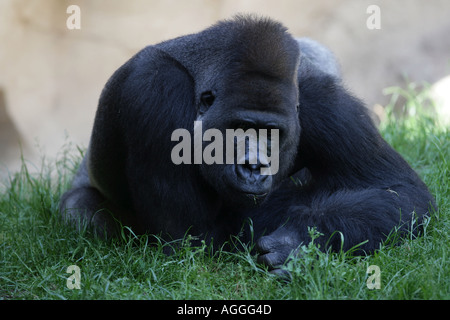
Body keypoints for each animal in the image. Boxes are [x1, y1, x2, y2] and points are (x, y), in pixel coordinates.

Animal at [59, 14, 436, 270]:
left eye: (272, 133)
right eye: (239, 128)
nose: (254, 166)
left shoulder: (322, 99)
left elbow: (399, 190)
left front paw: (302, 239)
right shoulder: (153, 87)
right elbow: (190, 240)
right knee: (83, 214)